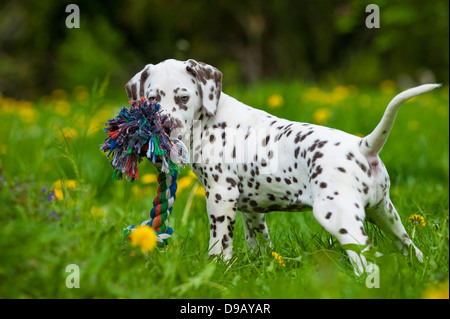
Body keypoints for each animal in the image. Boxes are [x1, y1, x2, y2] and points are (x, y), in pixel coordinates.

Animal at [125, 59, 440, 276]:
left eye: (183, 97)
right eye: (152, 99)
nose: (166, 126)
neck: (211, 119)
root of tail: (363, 146)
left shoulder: (220, 197)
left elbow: (219, 243)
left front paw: (215, 270)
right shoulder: (251, 209)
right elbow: (258, 241)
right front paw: (262, 265)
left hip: (339, 217)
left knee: (368, 262)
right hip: (385, 213)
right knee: (411, 248)